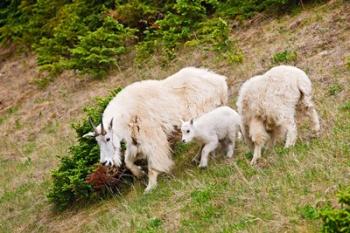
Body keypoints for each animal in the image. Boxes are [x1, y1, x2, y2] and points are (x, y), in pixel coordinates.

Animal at [83, 66, 228, 192]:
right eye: (97, 142)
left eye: (108, 138)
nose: (105, 162)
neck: (126, 114)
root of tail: (220, 82)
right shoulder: (135, 141)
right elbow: (128, 161)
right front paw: (140, 173)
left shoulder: (151, 136)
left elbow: (153, 162)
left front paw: (150, 186)